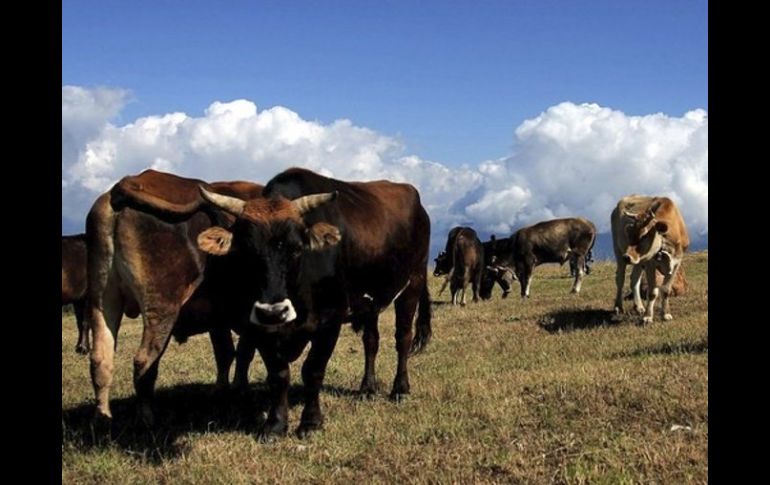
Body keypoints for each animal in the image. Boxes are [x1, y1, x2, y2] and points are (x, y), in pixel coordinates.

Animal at [86, 169, 262, 428]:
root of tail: (130, 182)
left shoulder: (219, 318)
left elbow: (226, 353)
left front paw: (222, 393)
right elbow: (242, 354)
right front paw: (240, 392)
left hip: (102, 299)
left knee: (101, 358)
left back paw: (103, 417)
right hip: (162, 306)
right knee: (144, 361)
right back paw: (147, 419)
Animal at [195, 167, 432, 438]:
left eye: (297, 249)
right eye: (245, 250)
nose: (274, 312)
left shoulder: (330, 321)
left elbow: (313, 370)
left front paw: (310, 422)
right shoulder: (260, 328)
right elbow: (278, 374)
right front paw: (276, 424)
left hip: (413, 283)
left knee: (403, 338)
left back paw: (400, 389)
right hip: (370, 302)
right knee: (371, 341)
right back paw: (367, 388)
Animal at [608, 193, 688, 322]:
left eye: (645, 235)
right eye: (630, 234)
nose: (627, 257)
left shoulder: (676, 263)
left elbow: (666, 290)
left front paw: (666, 314)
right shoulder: (650, 263)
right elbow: (652, 292)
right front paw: (648, 316)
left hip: (639, 261)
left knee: (634, 279)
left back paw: (639, 307)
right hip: (617, 250)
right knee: (620, 278)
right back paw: (618, 307)